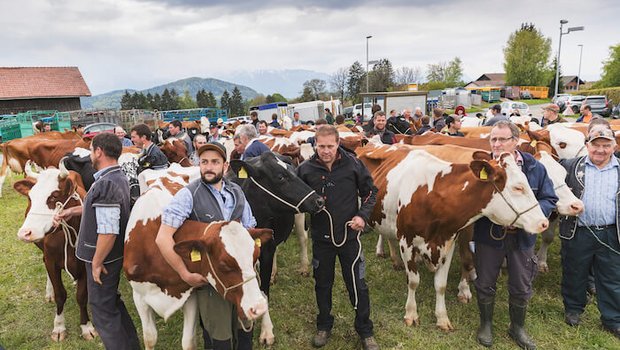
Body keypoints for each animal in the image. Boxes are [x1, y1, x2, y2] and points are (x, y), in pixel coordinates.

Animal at [13, 167, 98, 342]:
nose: (24, 233)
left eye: (53, 197)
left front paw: (86, 326)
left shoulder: (85, 263)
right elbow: (60, 294)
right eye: (30, 197)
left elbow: (82, 296)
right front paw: (59, 327)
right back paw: (49, 292)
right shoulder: (51, 262)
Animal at [356, 145, 548, 330]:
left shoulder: (448, 243)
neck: (433, 196)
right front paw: (411, 314)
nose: (543, 222)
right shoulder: (406, 241)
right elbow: (413, 281)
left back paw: (396, 260)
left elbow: (441, 284)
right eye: (518, 187)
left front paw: (442, 318)